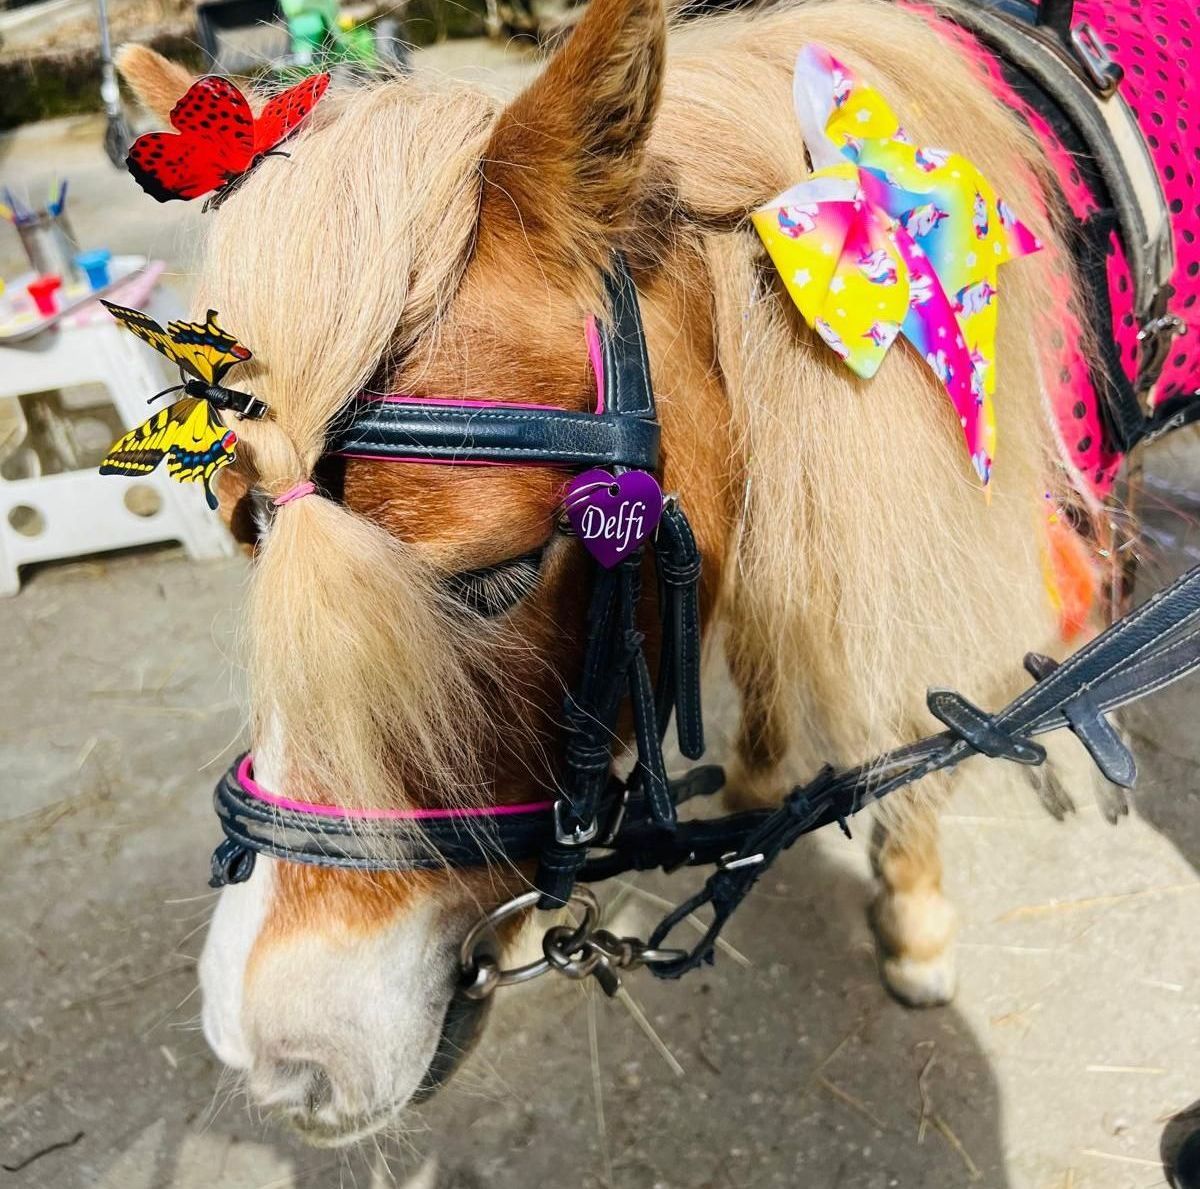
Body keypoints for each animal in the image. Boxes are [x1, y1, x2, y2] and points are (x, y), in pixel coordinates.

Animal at [116, 0, 1132, 1144]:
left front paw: (913, 918)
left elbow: (904, 699)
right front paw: (759, 767)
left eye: (498, 574)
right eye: (247, 533)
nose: (283, 1054)